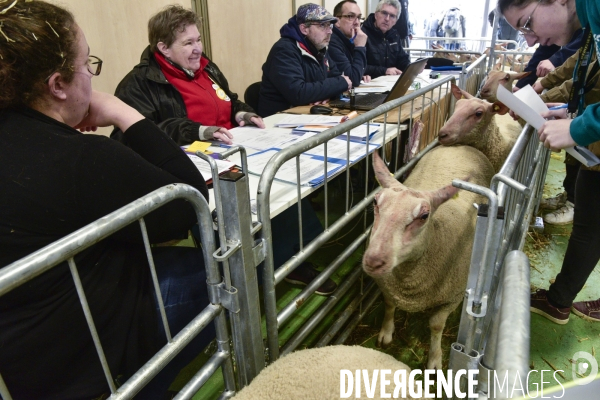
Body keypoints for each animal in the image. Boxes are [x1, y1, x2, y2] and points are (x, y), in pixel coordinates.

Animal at [360, 148, 492, 370]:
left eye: (424, 216)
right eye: (376, 202)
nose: (373, 261)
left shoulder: (452, 297)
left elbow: (436, 325)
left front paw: (435, 359)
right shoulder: (387, 286)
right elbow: (389, 305)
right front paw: (386, 332)